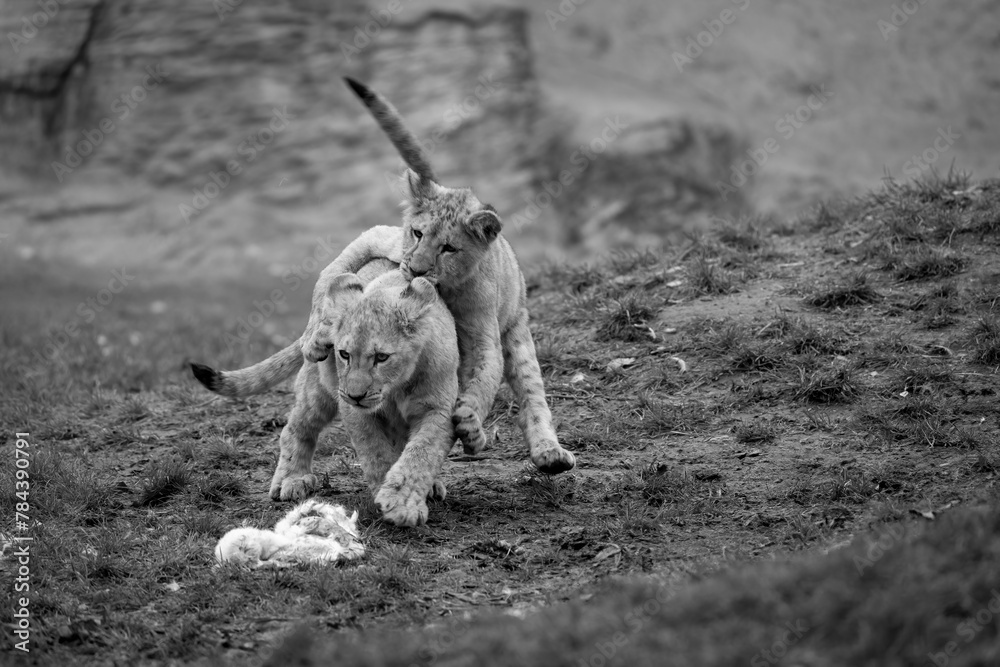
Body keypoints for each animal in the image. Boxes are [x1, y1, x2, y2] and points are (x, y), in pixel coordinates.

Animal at [191, 77, 575, 502]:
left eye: (449, 248)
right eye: (418, 233)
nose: (417, 268)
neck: (445, 289)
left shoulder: (480, 329)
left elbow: (482, 377)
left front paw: (470, 425)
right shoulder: (383, 240)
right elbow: (329, 275)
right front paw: (320, 334)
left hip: (517, 333)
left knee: (531, 391)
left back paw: (548, 453)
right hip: (322, 384)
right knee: (298, 422)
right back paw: (292, 476)